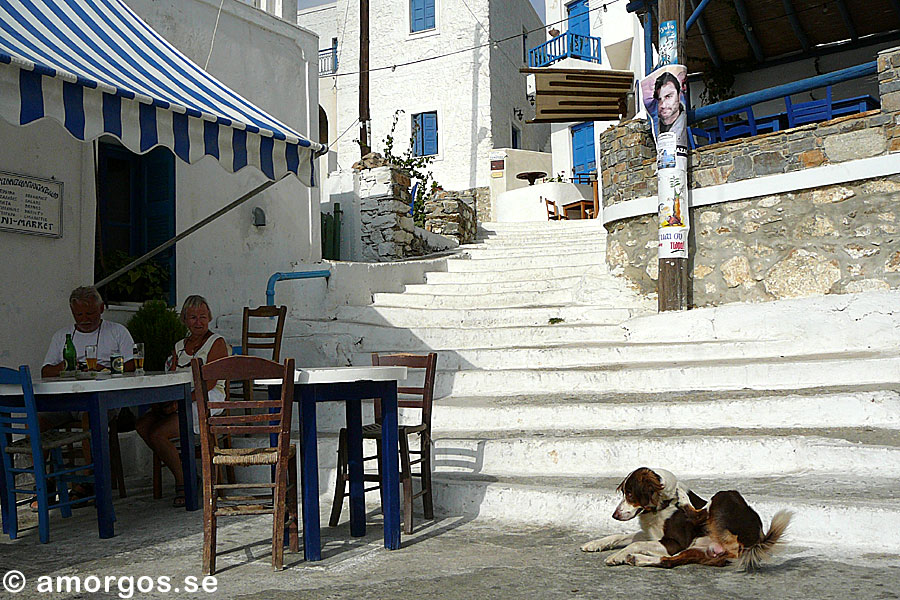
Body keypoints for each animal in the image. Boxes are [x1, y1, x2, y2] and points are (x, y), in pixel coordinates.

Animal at [580, 466, 708, 564]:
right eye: (624, 492)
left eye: (630, 494)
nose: (614, 516)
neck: (664, 505)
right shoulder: (650, 534)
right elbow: (619, 536)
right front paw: (595, 543)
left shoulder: (676, 543)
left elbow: (637, 544)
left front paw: (617, 555)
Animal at [624, 490, 796, 568]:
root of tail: (753, 542)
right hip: (700, 551)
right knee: (669, 561)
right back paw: (638, 559)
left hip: (725, 495)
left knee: (699, 515)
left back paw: (683, 496)